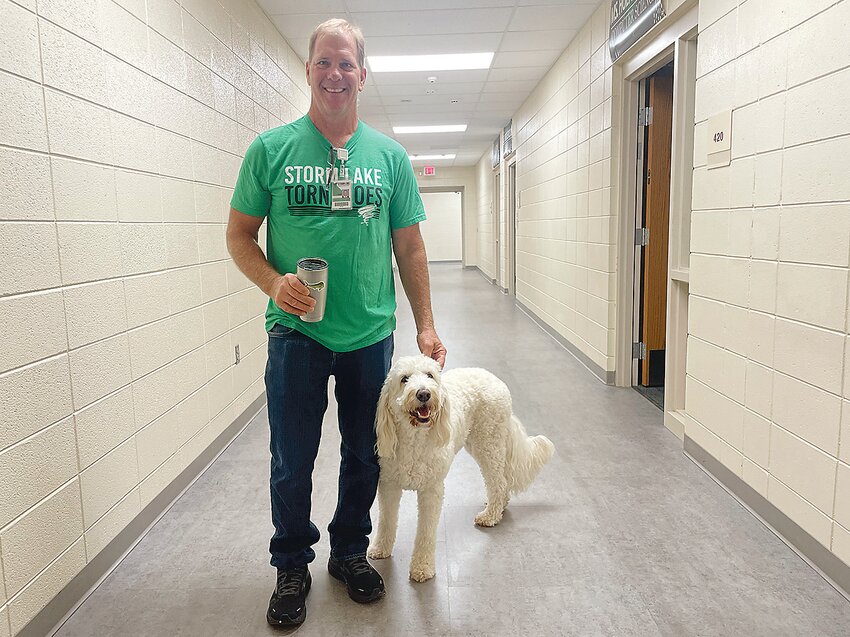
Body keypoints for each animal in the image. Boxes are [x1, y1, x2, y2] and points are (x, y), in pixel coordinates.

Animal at [366, 352, 552, 580]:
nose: (424, 394)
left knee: (498, 481)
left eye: (430, 375)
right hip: (478, 441)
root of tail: (493, 378)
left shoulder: (432, 490)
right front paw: (380, 549)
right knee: (501, 481)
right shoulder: (389, 485)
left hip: (488, 442)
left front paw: (423, 567)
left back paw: (490, 515)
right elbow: (386, 521)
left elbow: (426, 533)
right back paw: (498, 506)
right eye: (404, 379)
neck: (415, 438)